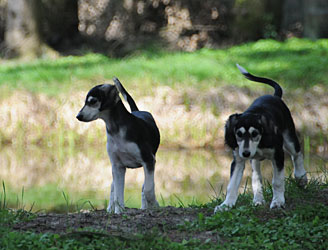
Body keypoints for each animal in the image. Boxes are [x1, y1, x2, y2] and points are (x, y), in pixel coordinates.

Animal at [76, 77, 160, 213]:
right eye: (85, 102)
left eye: (93, 101)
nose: (78, 116)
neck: (116, 130)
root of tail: (138, 111)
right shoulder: (118, 166)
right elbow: (117, 195)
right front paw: (118, 211)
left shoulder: (149, 161)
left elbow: (147, 189)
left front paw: (154, 204)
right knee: (113, 187)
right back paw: (110, 208)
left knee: (144, 187)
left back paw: (144, 207)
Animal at [215, 64, 308, 213]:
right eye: (238, 134)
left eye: (254, 133)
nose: (246, 153)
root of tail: (274, 96)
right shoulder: (238, 160)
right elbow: (232, 185)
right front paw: (226, 205)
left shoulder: (278, 155)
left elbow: (277, 182)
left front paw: (278, 202)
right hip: (255, 161)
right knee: (256, 178)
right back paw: (258, 199)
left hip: (289, 138)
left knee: (297, 154)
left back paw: (301, 177)